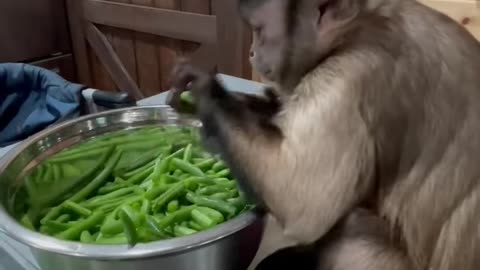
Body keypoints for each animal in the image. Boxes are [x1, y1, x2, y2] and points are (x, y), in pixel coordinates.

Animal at [170, 0, 480, 270]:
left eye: (259, 30)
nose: (251, 51)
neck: (354, 29)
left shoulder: (349, 74)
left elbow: (301, 201)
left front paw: (202, 89)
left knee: (353, 227)